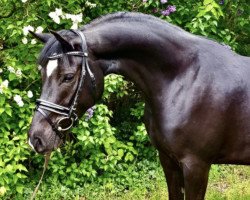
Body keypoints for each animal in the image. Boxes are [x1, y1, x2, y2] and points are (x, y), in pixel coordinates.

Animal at [27, 11, 250, 199]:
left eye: (68, 77)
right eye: (42, 73)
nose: (36, 138)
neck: (183, 79)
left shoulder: (196, 166)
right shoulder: (168, 160)